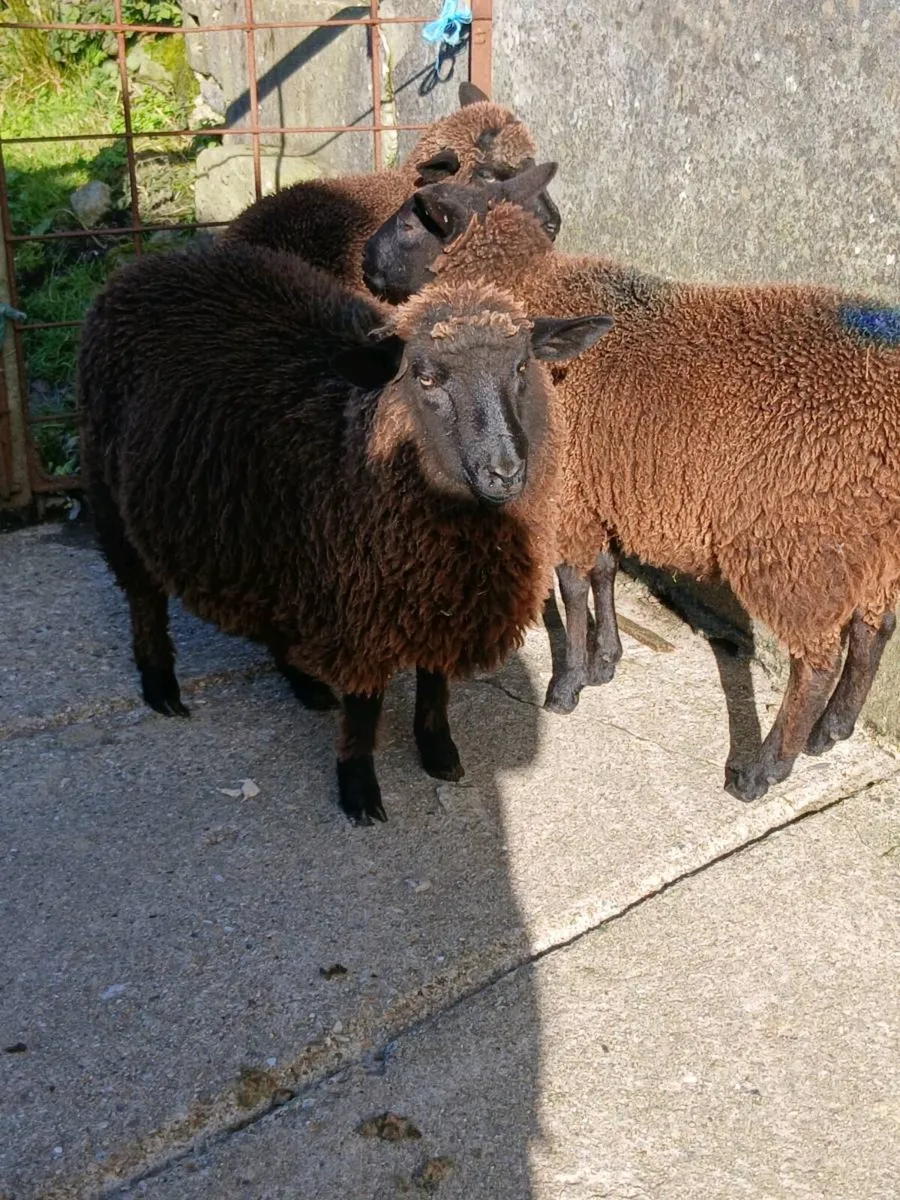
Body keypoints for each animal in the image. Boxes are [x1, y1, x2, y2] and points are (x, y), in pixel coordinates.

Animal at [77, 239, 611, 824]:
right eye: (425, 377)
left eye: (520, 366)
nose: (505, 472)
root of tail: (148, 264)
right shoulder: (361, 604)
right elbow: (364, 705)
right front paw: (358, 789)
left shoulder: (433, 596)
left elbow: (434, 682)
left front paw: (438, 752)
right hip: (109, 491)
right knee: (143, 596)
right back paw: (161, 686)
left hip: (276, 538)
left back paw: (306, 686)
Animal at [361, 162, 900, 802]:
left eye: (412, 221)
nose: (364, 262)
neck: (532, 294)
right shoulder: (595, 489)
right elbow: (603, 572)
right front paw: (606, 661)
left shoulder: (564, 491)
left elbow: (570, 585)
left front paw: (567, 684)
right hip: (873, 541)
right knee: (875, 628)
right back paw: (832, 731)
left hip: (798, 543)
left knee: (815, 661)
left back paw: (763, 770)